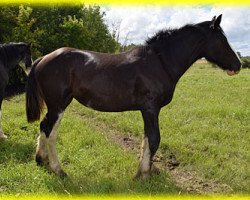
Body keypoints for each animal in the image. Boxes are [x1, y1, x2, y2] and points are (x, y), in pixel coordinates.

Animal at [25, 15, 240, 178]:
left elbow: (146, 139)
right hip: (58, 106)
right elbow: (154, 139)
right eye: (222, 39)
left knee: (43, 126)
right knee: (50, 132)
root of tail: (43, 58)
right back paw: (58, 170)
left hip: (55, 106)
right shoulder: (151, 109)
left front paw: (147, 169)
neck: (160, 61)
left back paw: (41, 160)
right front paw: (143, 174)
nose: (238, 65)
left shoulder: (148, 111)